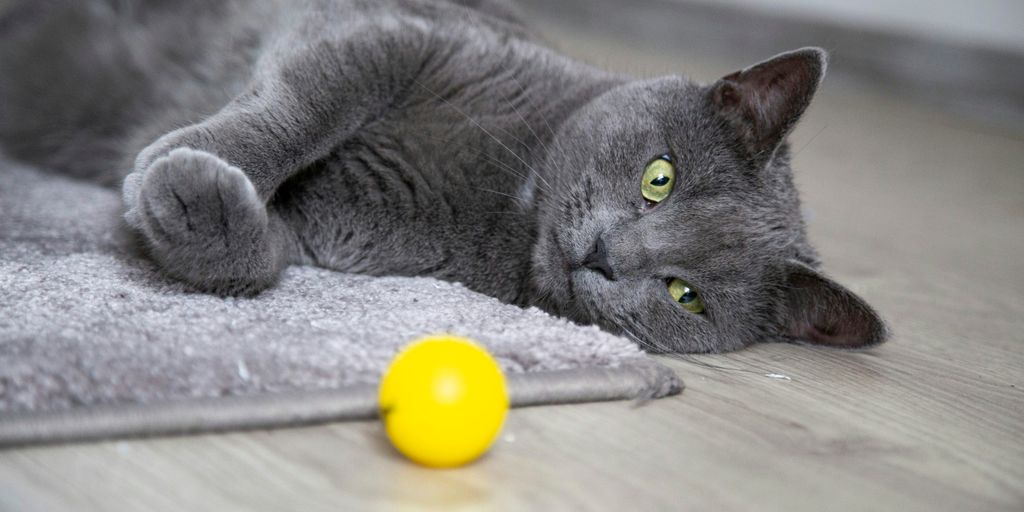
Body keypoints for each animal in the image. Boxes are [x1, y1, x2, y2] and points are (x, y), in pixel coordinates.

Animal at [0, 0, 888, 352]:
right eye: (659, 178)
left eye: (685, 295)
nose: (605, 255)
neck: (503, 193)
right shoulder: (390, 32)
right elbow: (303, 106)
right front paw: (178, 163)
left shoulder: (331, 234)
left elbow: (258, 255)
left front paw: (195, 203)